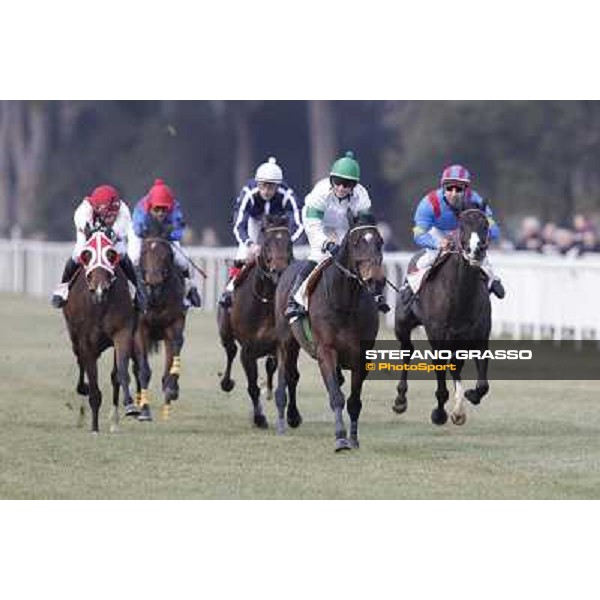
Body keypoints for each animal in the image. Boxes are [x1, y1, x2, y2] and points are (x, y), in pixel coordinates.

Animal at [61, 229, 136, 432]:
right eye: (87, 255)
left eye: (111, 255)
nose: (100, 290)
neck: (101, 305)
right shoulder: (86, 341)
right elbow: (93, 385)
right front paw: (94, 427)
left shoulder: (122, 332)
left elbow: (121, 373)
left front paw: (130, 406)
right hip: (74, 337)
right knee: (80, 363)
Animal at [132, 226, 186, 422]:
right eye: (144, 253)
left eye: (167, 254)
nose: (154, 282)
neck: (156, 298)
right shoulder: (140, 329)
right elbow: (144, 371)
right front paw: (145, 410)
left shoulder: (175, 323)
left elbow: (175, 352)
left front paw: (171, 389)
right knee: (135, 367)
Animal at [219, 213, 294, 428]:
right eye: (267, 243)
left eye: (289, 242)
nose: (279, 271)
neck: (266, 300)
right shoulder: (248, 350)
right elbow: (252, 386)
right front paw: (259, 417)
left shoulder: (282, 344)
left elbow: (285, 377)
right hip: (225, 333)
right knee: (230, 351)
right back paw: (227, 382)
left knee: (270, 365)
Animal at [276, 213, 384, 452]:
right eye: (356, 242)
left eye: (380, 241)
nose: (376, 280)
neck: (344, 302)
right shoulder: (326, 351)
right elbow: (336, 396)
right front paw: (341, 438)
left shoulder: (361, 357)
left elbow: (354, 401)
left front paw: (353, 439)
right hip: (286, 342)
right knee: (286, 374)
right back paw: (281, 420)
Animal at [394, 209, 492, 424]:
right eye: (462, 226)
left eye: (486, 225)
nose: (476, 250)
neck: (460, 296)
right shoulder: (438, 336)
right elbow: (440, 378)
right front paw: (439, 414)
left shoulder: (479, 336)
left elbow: (482, 385)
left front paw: (468, 397)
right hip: (402, 323)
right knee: (407, 350)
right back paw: (400, 399)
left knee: (455, 366)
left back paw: (458, 408)